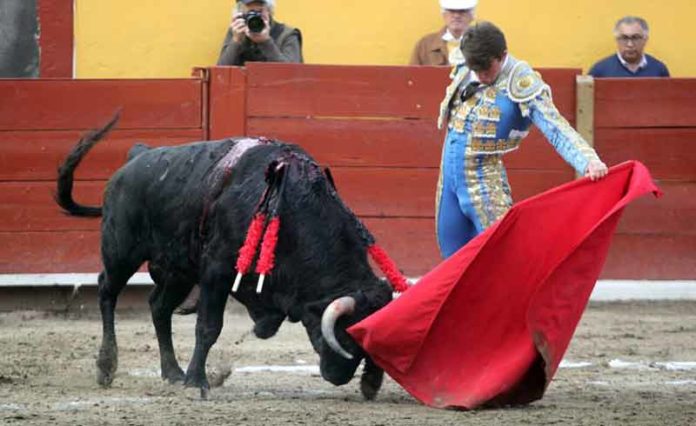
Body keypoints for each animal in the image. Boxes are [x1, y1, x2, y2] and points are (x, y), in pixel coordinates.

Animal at [55, 115, 392, 398]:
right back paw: (106, 365)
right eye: (345, 335)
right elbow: (208, 326)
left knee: (159, 307)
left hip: (178, 270)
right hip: (122, 252)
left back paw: (172, 372)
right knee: (107, 292)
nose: (339, 376)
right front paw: (198, 381)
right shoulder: (216, 272)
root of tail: (136, 157)